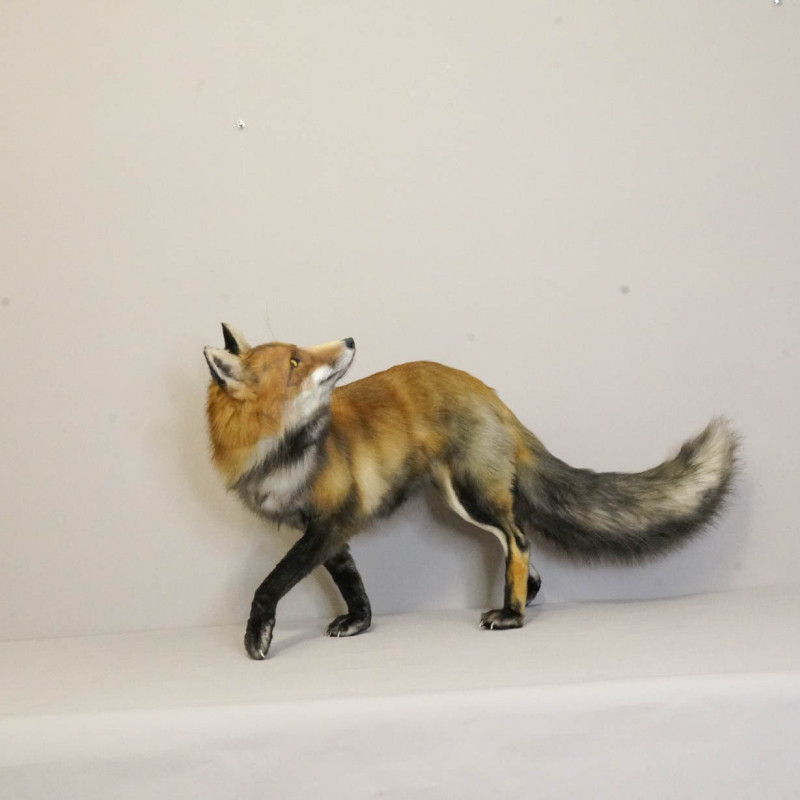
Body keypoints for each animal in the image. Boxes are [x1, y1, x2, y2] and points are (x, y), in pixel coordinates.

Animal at [204, 325, 737, 660]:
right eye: (296, 361)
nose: (351, 338)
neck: (285, 455)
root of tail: (490, 394)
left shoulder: (331, 522)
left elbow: (271, 583)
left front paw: (257, 636)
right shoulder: (325, 528)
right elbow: (353, 585)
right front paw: (359, 623)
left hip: (469, 493)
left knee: (519, 540)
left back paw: (513, 615)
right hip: (464, 494)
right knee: (523, 551)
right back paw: (522, 598)